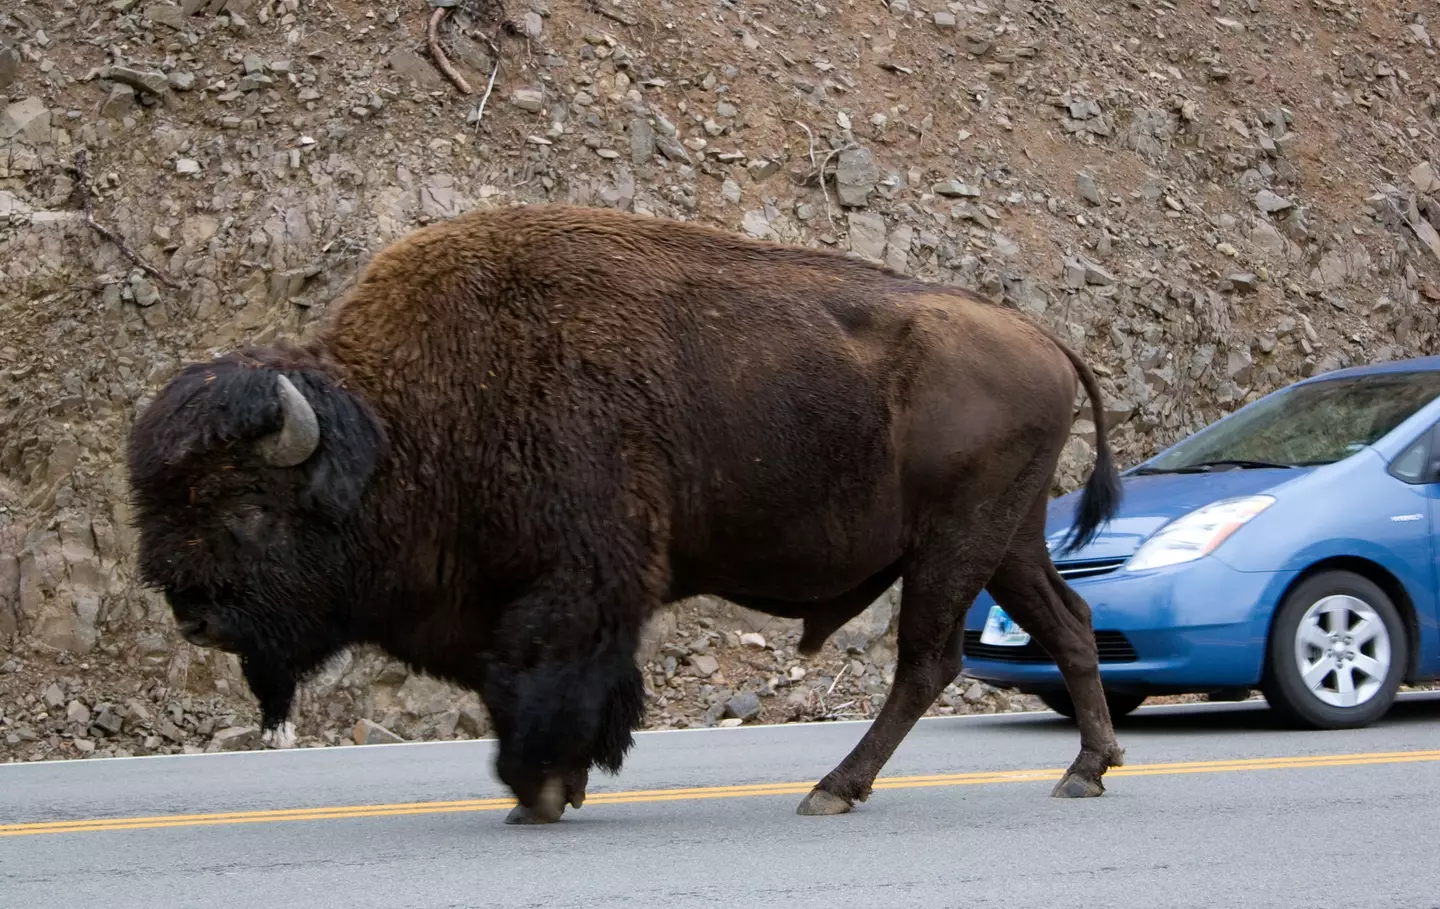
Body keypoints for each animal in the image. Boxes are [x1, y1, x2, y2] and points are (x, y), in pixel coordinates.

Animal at [126, 203, 1125, 824]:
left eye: (251, 508)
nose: (194, 616)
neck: (403, 422)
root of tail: (1044, 339)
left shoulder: (580, 583)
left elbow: (548, 681)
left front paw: (538, 790)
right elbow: (534, 685)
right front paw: (552, 788)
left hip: (956, 541)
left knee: (928, 660)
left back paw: (834, 787)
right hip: (1008, 539)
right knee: (1068, 622)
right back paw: (1086, 770)